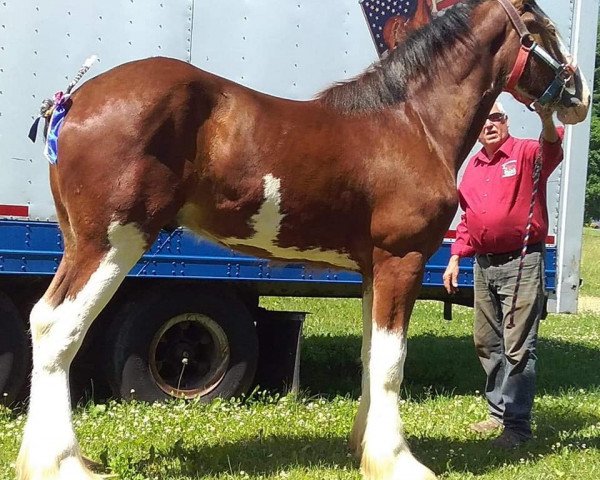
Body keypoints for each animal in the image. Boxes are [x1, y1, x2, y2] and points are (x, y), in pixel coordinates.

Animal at [19, 0, 592, 478]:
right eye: (541, 26)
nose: (580, 96)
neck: (411, 123)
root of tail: (72, 100)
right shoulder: (400, 260)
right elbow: (392, 362)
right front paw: (397, 461)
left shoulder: (373, 269)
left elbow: (371, 357)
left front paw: (364, 450)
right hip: (113, 243)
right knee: (60, 329)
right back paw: (63, 464)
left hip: (83, 244)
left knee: (43, 320)